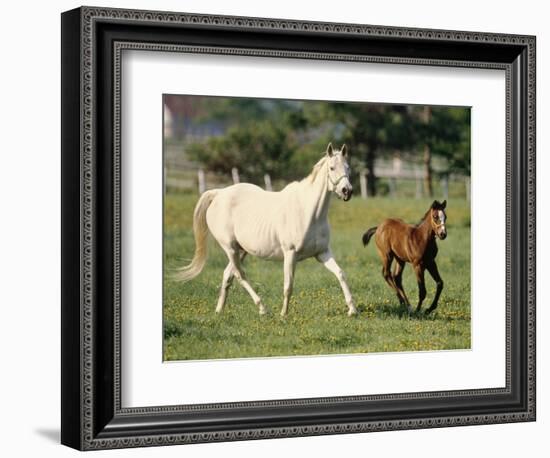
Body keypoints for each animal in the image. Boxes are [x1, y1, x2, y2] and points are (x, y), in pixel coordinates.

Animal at [177, 145, 358, 316]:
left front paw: (352, 310)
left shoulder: (322, 253)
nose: (347, 191)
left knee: (228, 274)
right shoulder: (290, 254)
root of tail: (219, 193)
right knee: (240, 275)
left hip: (241, 250)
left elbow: (341, 274)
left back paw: (219, 310)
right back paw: (263, 309)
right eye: (332, 168)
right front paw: (284, 314)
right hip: (230, 248)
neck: (308, 212)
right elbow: (288, 285)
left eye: (348, 167)